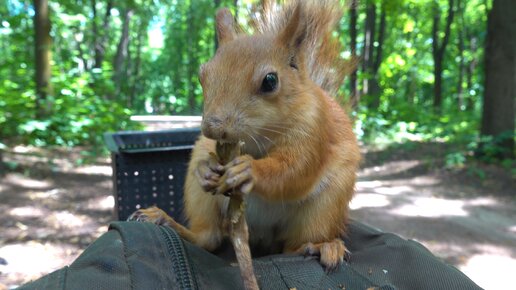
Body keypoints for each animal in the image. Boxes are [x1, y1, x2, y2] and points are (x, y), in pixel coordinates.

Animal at [130, 0, 358, 270]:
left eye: (270, 81)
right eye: (202, 75)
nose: (213, 128)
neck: (257, 137)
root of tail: (262, 237)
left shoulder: (314, 130)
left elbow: (296, 169)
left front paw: (249, 170)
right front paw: (206, 168)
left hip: (325, 207)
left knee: (295, 246)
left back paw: (323, 246)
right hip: (201, 200)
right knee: (208, 238)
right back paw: (164, 219)